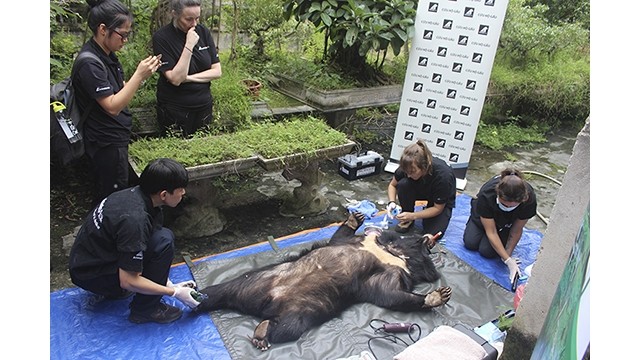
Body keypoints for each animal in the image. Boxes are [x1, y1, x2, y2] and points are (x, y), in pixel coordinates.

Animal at [195, 211, 450, 348]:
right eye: (423, 243)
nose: (431, 237)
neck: (392, 252)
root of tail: (268, 302)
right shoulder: (358, 242)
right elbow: (338, 237)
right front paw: (355, 218)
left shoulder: (392, 273)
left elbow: (390, 294)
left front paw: (437, 295)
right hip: (257, 279)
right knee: (221, 290)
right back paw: (197, 297)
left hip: (301, 310)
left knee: (285, 329)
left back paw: (262, 332)